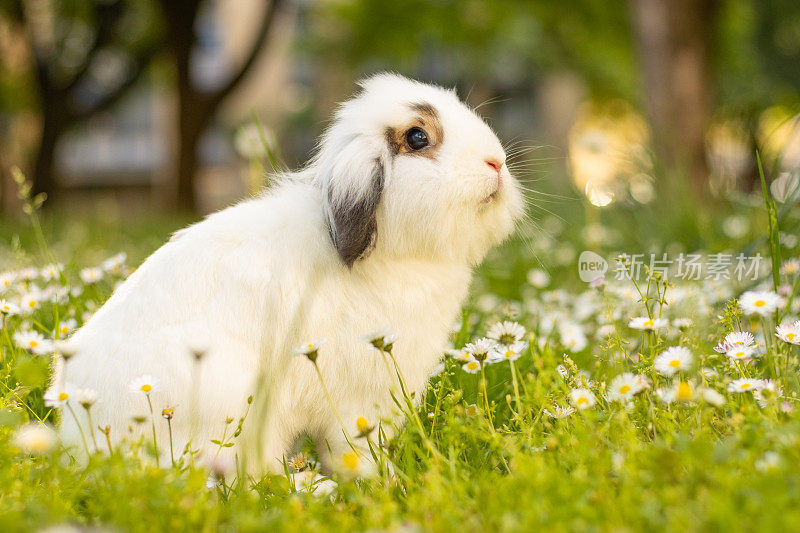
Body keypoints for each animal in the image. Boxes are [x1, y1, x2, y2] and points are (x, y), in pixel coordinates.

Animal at [50, 72, 524, 472]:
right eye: (418, 136)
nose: (496, 162)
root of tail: (85, 438)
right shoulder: (357, 398)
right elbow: (354, 449)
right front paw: (382, 481)